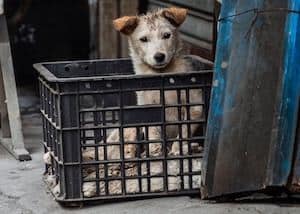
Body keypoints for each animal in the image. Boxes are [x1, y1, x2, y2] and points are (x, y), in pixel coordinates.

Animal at [44, 7, 204, 197]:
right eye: (143, 39)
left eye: (167, 35)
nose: (159, 56)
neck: (162, 76)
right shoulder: (147, 110)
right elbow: (154, 134)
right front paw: (156, 151)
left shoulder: (195, 105)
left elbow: (185, 128)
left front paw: (178, 148)